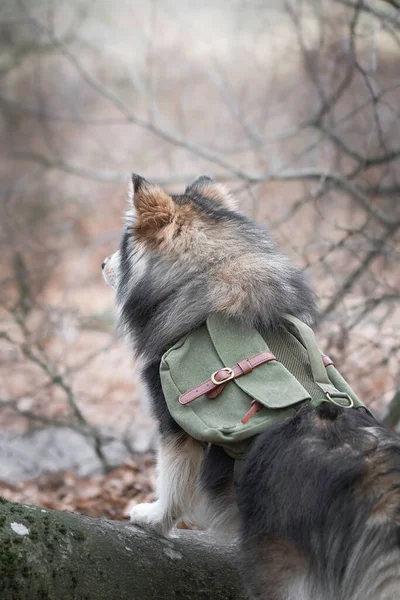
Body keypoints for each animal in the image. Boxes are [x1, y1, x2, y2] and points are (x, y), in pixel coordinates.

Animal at [102, 176, 400, 600]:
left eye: (124, 246)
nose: (102, 264)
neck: (211, 273)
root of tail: (373, 474)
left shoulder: (175, 426)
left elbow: (173, 484)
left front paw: (153, 518)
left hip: (283, 570)